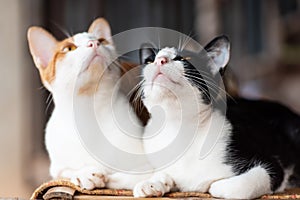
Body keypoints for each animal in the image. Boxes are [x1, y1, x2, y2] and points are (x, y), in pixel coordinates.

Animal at [27, 18, 151, 190]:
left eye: (101, 41)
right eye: (69, 48)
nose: (94, 43)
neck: (88, 112)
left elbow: (135, 174)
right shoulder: (57, 168)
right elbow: (66, 172)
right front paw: (84, 173)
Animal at [134, 35, 300, 198]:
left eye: (183, 58)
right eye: (149, 61)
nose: (160, 60)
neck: (179, 129)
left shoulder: (272, 166)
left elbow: (238, 187)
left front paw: (214, 185)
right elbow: (162, 172)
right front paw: (150, 183)